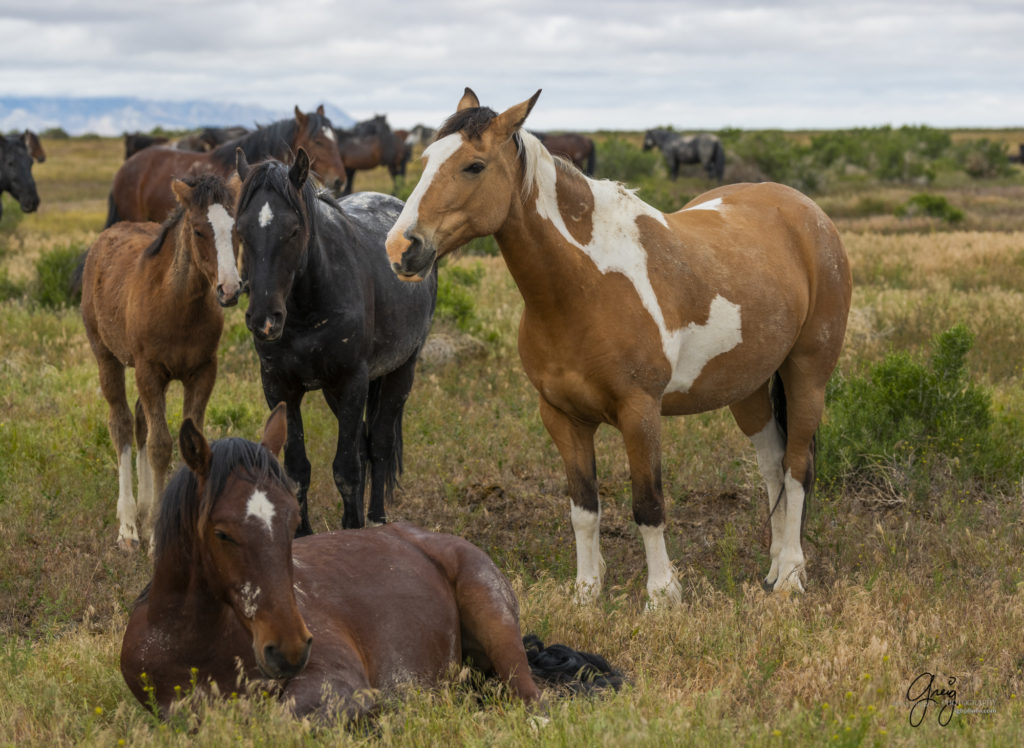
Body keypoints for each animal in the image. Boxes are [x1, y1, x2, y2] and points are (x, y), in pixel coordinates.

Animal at [80, 173, 242, 549]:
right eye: (198, 231)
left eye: (236, 228)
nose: (229, 289)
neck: (178, 303)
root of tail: (106, 236)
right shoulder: (149, 370)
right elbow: (160, 445)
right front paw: (154, 532)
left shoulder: (203, 371)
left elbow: (190, 440)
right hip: (107, 357)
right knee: (123, 423)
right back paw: (128, 526)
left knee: (141, 421)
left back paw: (142, 507)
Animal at [116, 405, 618, 721]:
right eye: (222, 533)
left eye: (293, 521)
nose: (290, 649)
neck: (192, 644)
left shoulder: (335, 684)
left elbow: (282, 720)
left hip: (496, 623)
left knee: (534, 704)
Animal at [234, 147, 438, 528]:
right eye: (241, 229)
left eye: (294, 230)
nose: (264, 319)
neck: (306, 310)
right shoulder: (280, 387)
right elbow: (298, 470)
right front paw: (303, 533)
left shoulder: (352, 381)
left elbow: (346, 469)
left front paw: (355, 530)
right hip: (335, 392)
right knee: (362, 444)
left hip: (400, 371)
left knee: (379, 444)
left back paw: (375, 518)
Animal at [387, 90, 851, 610]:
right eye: (425, 160)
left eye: (474, 165)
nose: (400, 247)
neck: (585, 287)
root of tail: (808, 215)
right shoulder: (562, 417)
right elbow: (584, 508)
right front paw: (586, 593)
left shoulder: (639, 412)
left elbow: (648, 504)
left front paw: (662, 596)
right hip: (746, 388)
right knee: (772, 466)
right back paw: (772, 571)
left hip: (807, 375)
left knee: (796, 467)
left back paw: (790, 574)